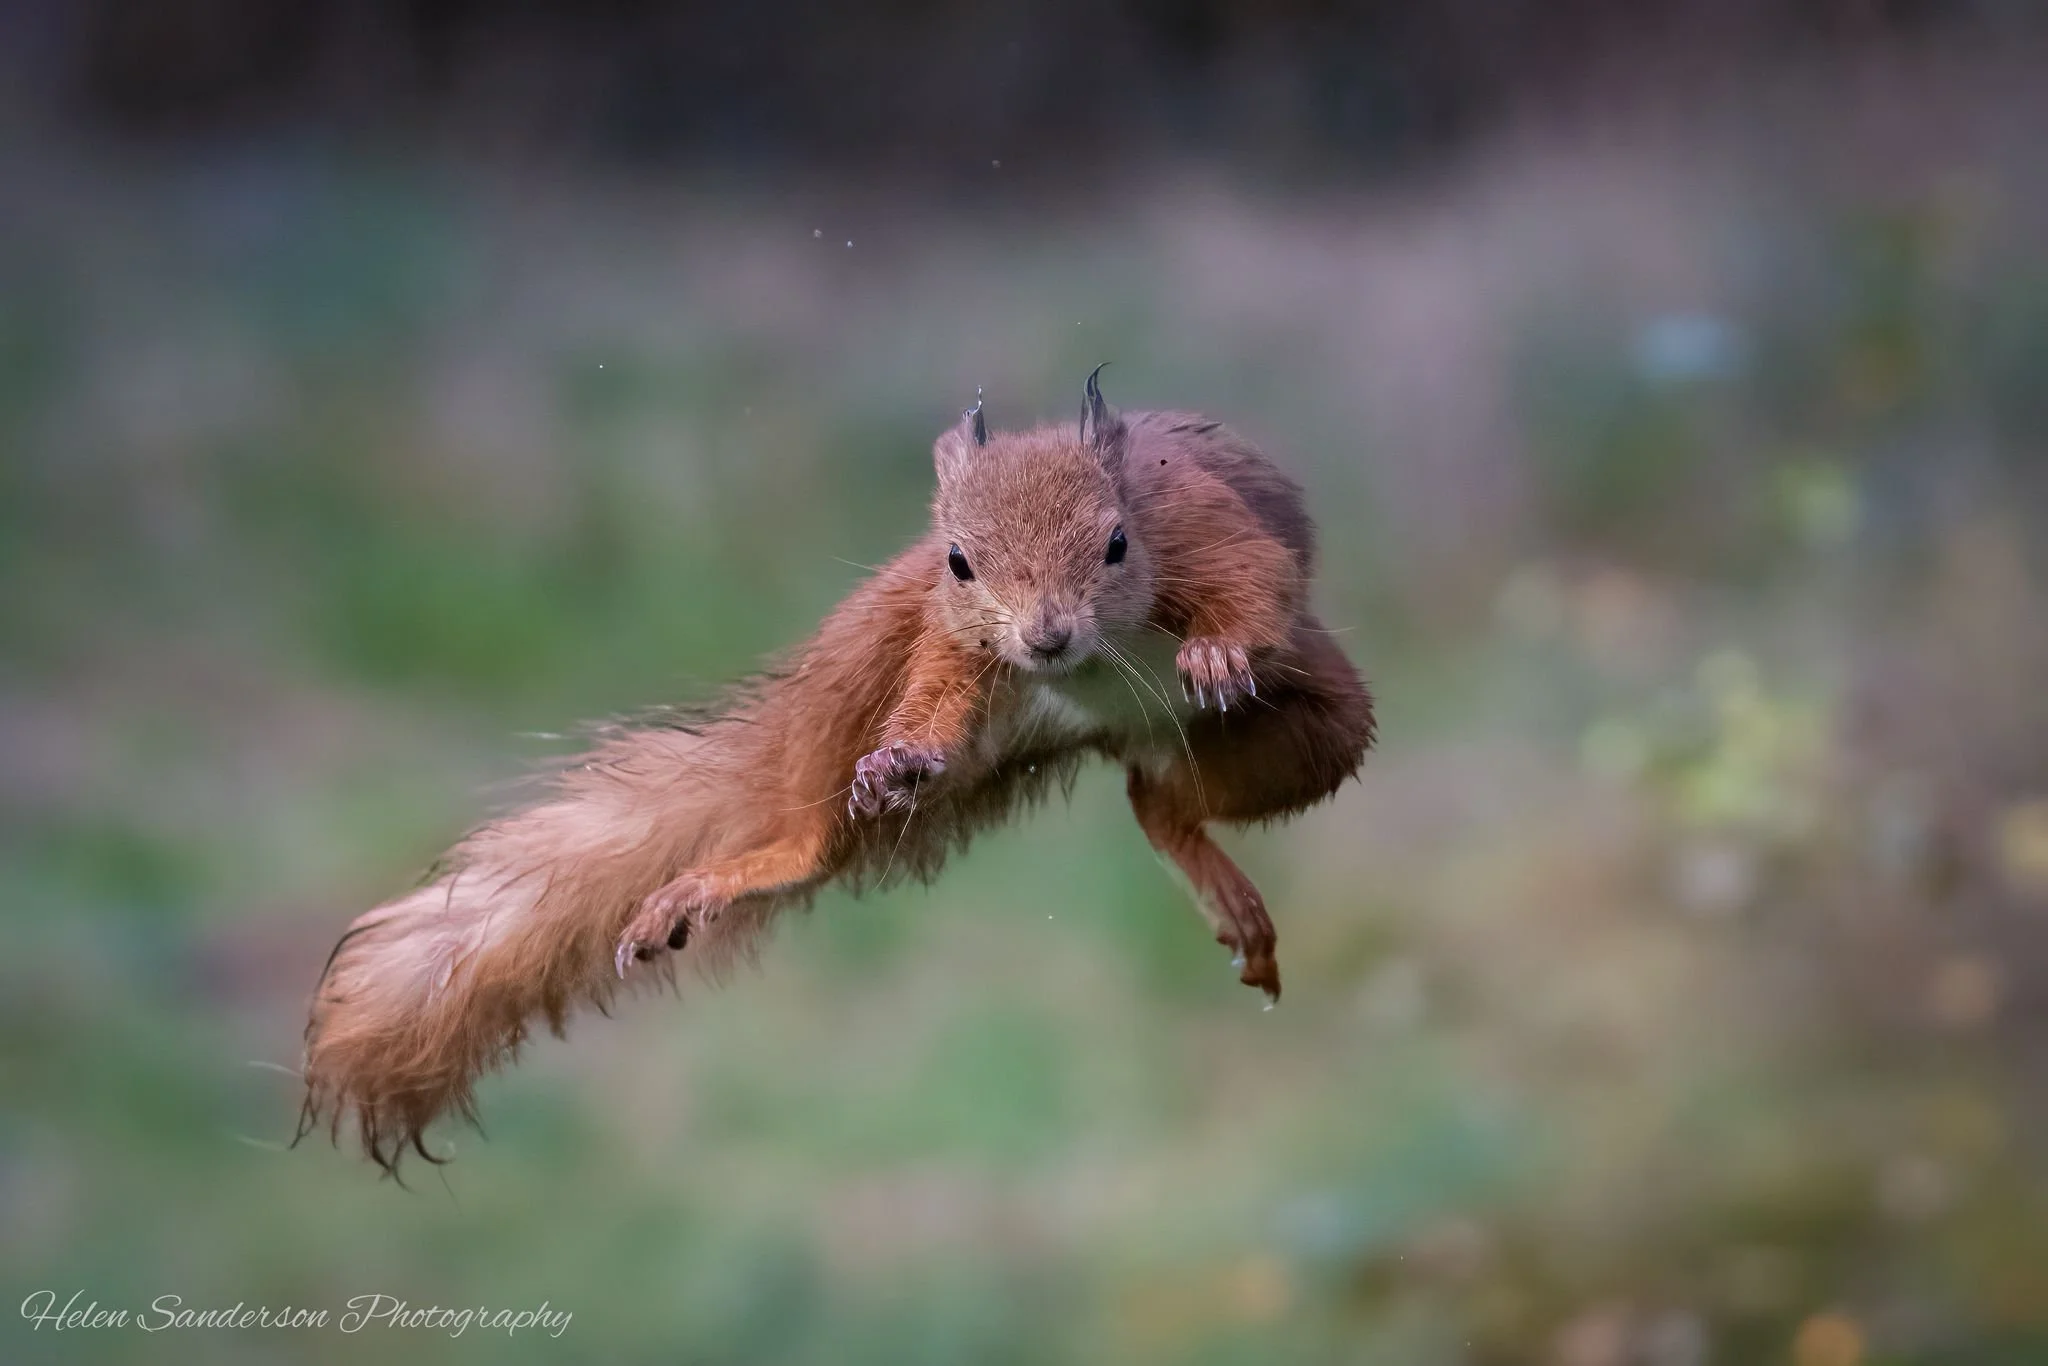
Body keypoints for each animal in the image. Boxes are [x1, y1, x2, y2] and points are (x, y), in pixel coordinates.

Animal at [300, 369, 1375, 1171]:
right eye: (959, 560)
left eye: (1115, 542)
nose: (1044, 636)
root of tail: (1098, 726)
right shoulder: (944, 635)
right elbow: (932, 696)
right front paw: (906, 752)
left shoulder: (1204, 530)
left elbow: (1255, 580)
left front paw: (1219, 651)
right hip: (863, 655)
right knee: (822, 830)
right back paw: (752, 859)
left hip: (1317, 724)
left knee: (1162, 800)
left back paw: (1206, 863)